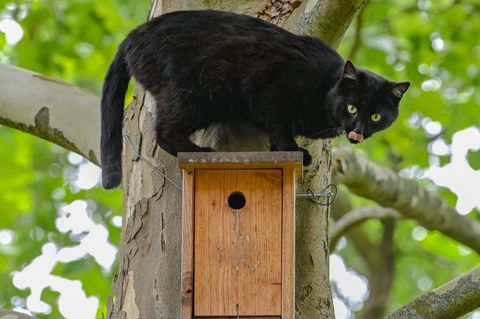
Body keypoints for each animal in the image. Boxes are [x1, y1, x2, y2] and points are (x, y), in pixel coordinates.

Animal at [100, 10, 408, 190]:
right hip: (193, 95)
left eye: (376, 116)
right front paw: (294, 151)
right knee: (164, 132)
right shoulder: (271, 93)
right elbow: (280, 127)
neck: (325, 88)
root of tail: (130, 37)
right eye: (352, 107)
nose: (358, 129)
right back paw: (200, 151)